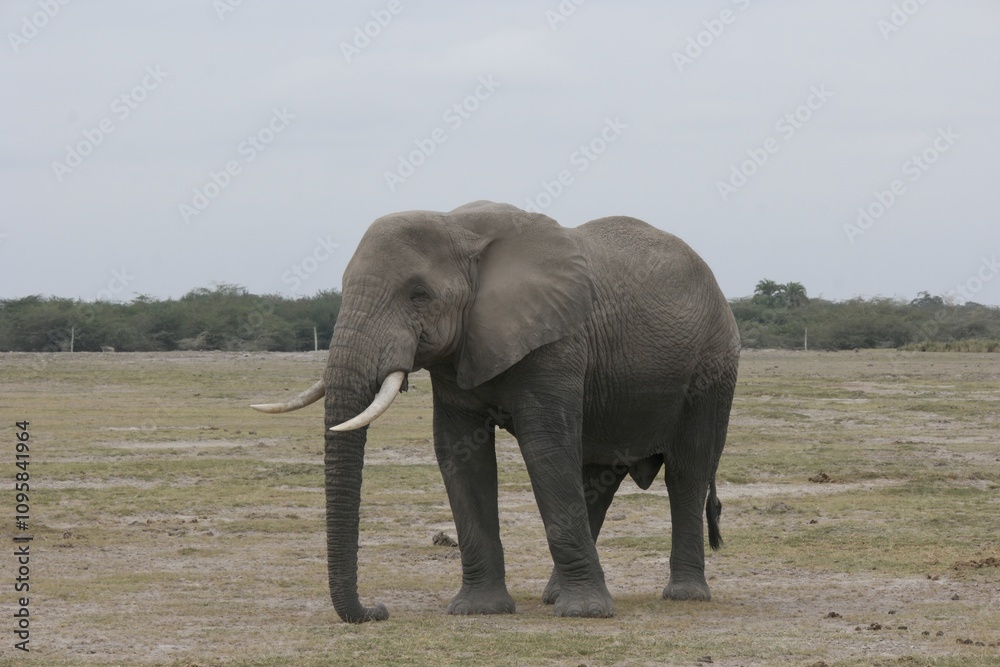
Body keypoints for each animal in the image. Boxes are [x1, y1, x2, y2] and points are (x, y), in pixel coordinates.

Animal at [252, 201, 740, 623]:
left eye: (418, 295)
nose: (379, 610)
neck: (458, 227)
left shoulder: (556, 342)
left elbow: (546, 449)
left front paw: (585, 614)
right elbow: (459, 454)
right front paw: (479, 610)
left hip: (712, 368)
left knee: (687, 472)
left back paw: (682, 596)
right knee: (597, 478)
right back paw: (553, 595)